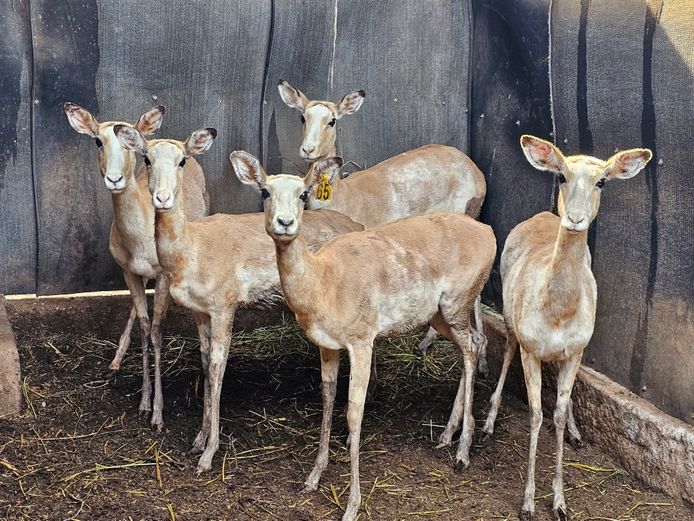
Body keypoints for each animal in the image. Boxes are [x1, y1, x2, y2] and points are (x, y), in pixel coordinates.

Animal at [63, 102, 209, 430]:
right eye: (97, 140)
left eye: (129, 145)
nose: (115, 179)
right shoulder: (128, 272)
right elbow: (144, 325)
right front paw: (143, 402)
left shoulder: (164, 275)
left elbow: (156, 331)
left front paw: (158, 414)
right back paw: (115, 361)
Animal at [111, 126, 362, 472]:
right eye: (146, 158)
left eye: (182, 160)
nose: (162, 198)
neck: (192, 248)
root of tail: (357, 224)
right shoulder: (199, 311)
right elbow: (205, 363)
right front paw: (198, 439)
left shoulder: (224, 307)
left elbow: (218, 367)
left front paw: (208, 454)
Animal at [237, 153, 498, 520]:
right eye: (264, 191)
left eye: (303, 193)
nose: (285, 222)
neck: (324, 282)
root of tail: (488, 232)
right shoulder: (326, 345)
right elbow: (328, 398)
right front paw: (312, 478)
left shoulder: (362, 341)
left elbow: (354, 412)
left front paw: (351, 505)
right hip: (440, 314)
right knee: (472, 345)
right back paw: (447, 435)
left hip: (457, 304)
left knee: (473, 347)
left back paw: (462, 452)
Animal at [484, 135, 652, 520]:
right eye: (560, 175)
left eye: (602, 181)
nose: (575, 218)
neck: (557, 312)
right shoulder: (531, 349)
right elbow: (535, 415)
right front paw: (528, 502)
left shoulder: (574, 351)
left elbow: (557, 414)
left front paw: (560, 502)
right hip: (510, 320)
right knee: (506, 352)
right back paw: (488, 422)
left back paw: (575, 432)